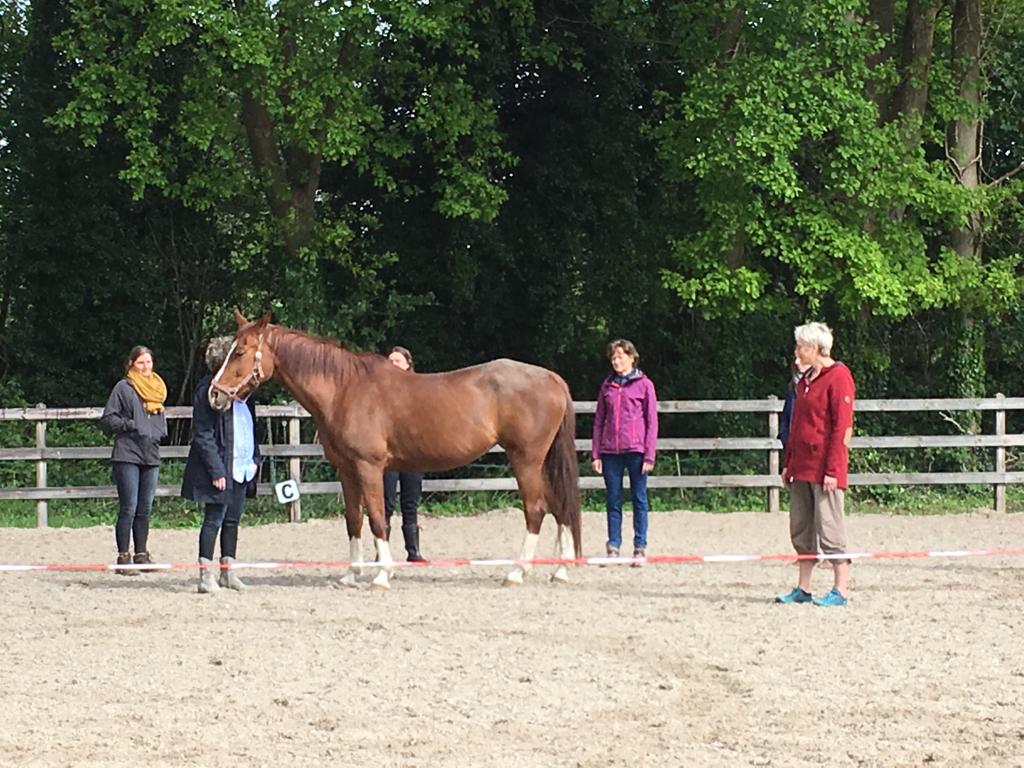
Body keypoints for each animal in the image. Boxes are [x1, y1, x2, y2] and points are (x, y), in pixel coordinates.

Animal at [205, 313, 585, 589]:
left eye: (240, 352)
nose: (215, 395)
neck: (344, 390)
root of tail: (552, 378)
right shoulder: (346, 470)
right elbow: (354, 519)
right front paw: (351, 574)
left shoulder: (369, 467)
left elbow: (376, 517)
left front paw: (381, 575)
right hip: (541, 462)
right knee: (559, 506)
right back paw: (560, 570)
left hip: (526, 459)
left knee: (536, 509)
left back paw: (517, 572)